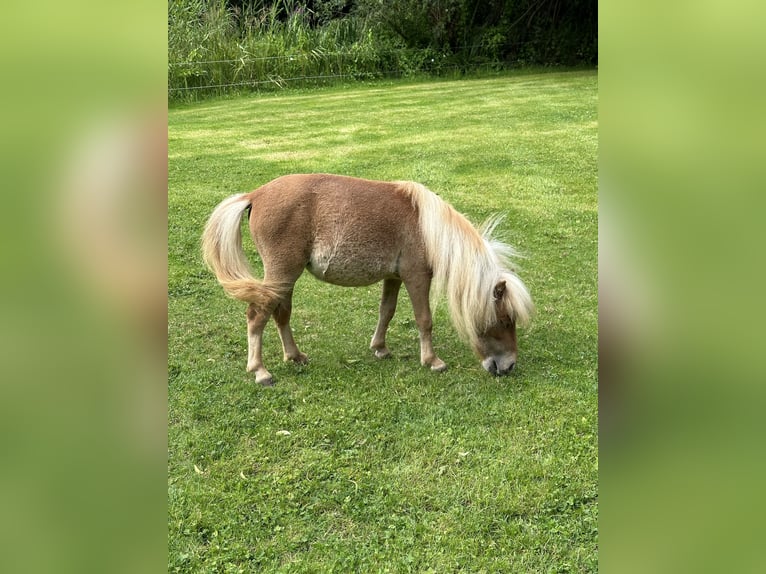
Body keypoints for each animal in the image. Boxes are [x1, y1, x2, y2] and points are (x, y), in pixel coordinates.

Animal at [201, 173, 536, 384]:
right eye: (504, 320)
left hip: (285, 278)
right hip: (282, 272)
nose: (508, 366)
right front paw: (432, 361)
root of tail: (255, 195)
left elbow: (386, 312)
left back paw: (294, 356)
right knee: (257, 315)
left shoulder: (394, 277)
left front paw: (380, 348)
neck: (428, 228)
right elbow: (424, 319)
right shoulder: (416, 276)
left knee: (281, 315)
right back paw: (260, 370)